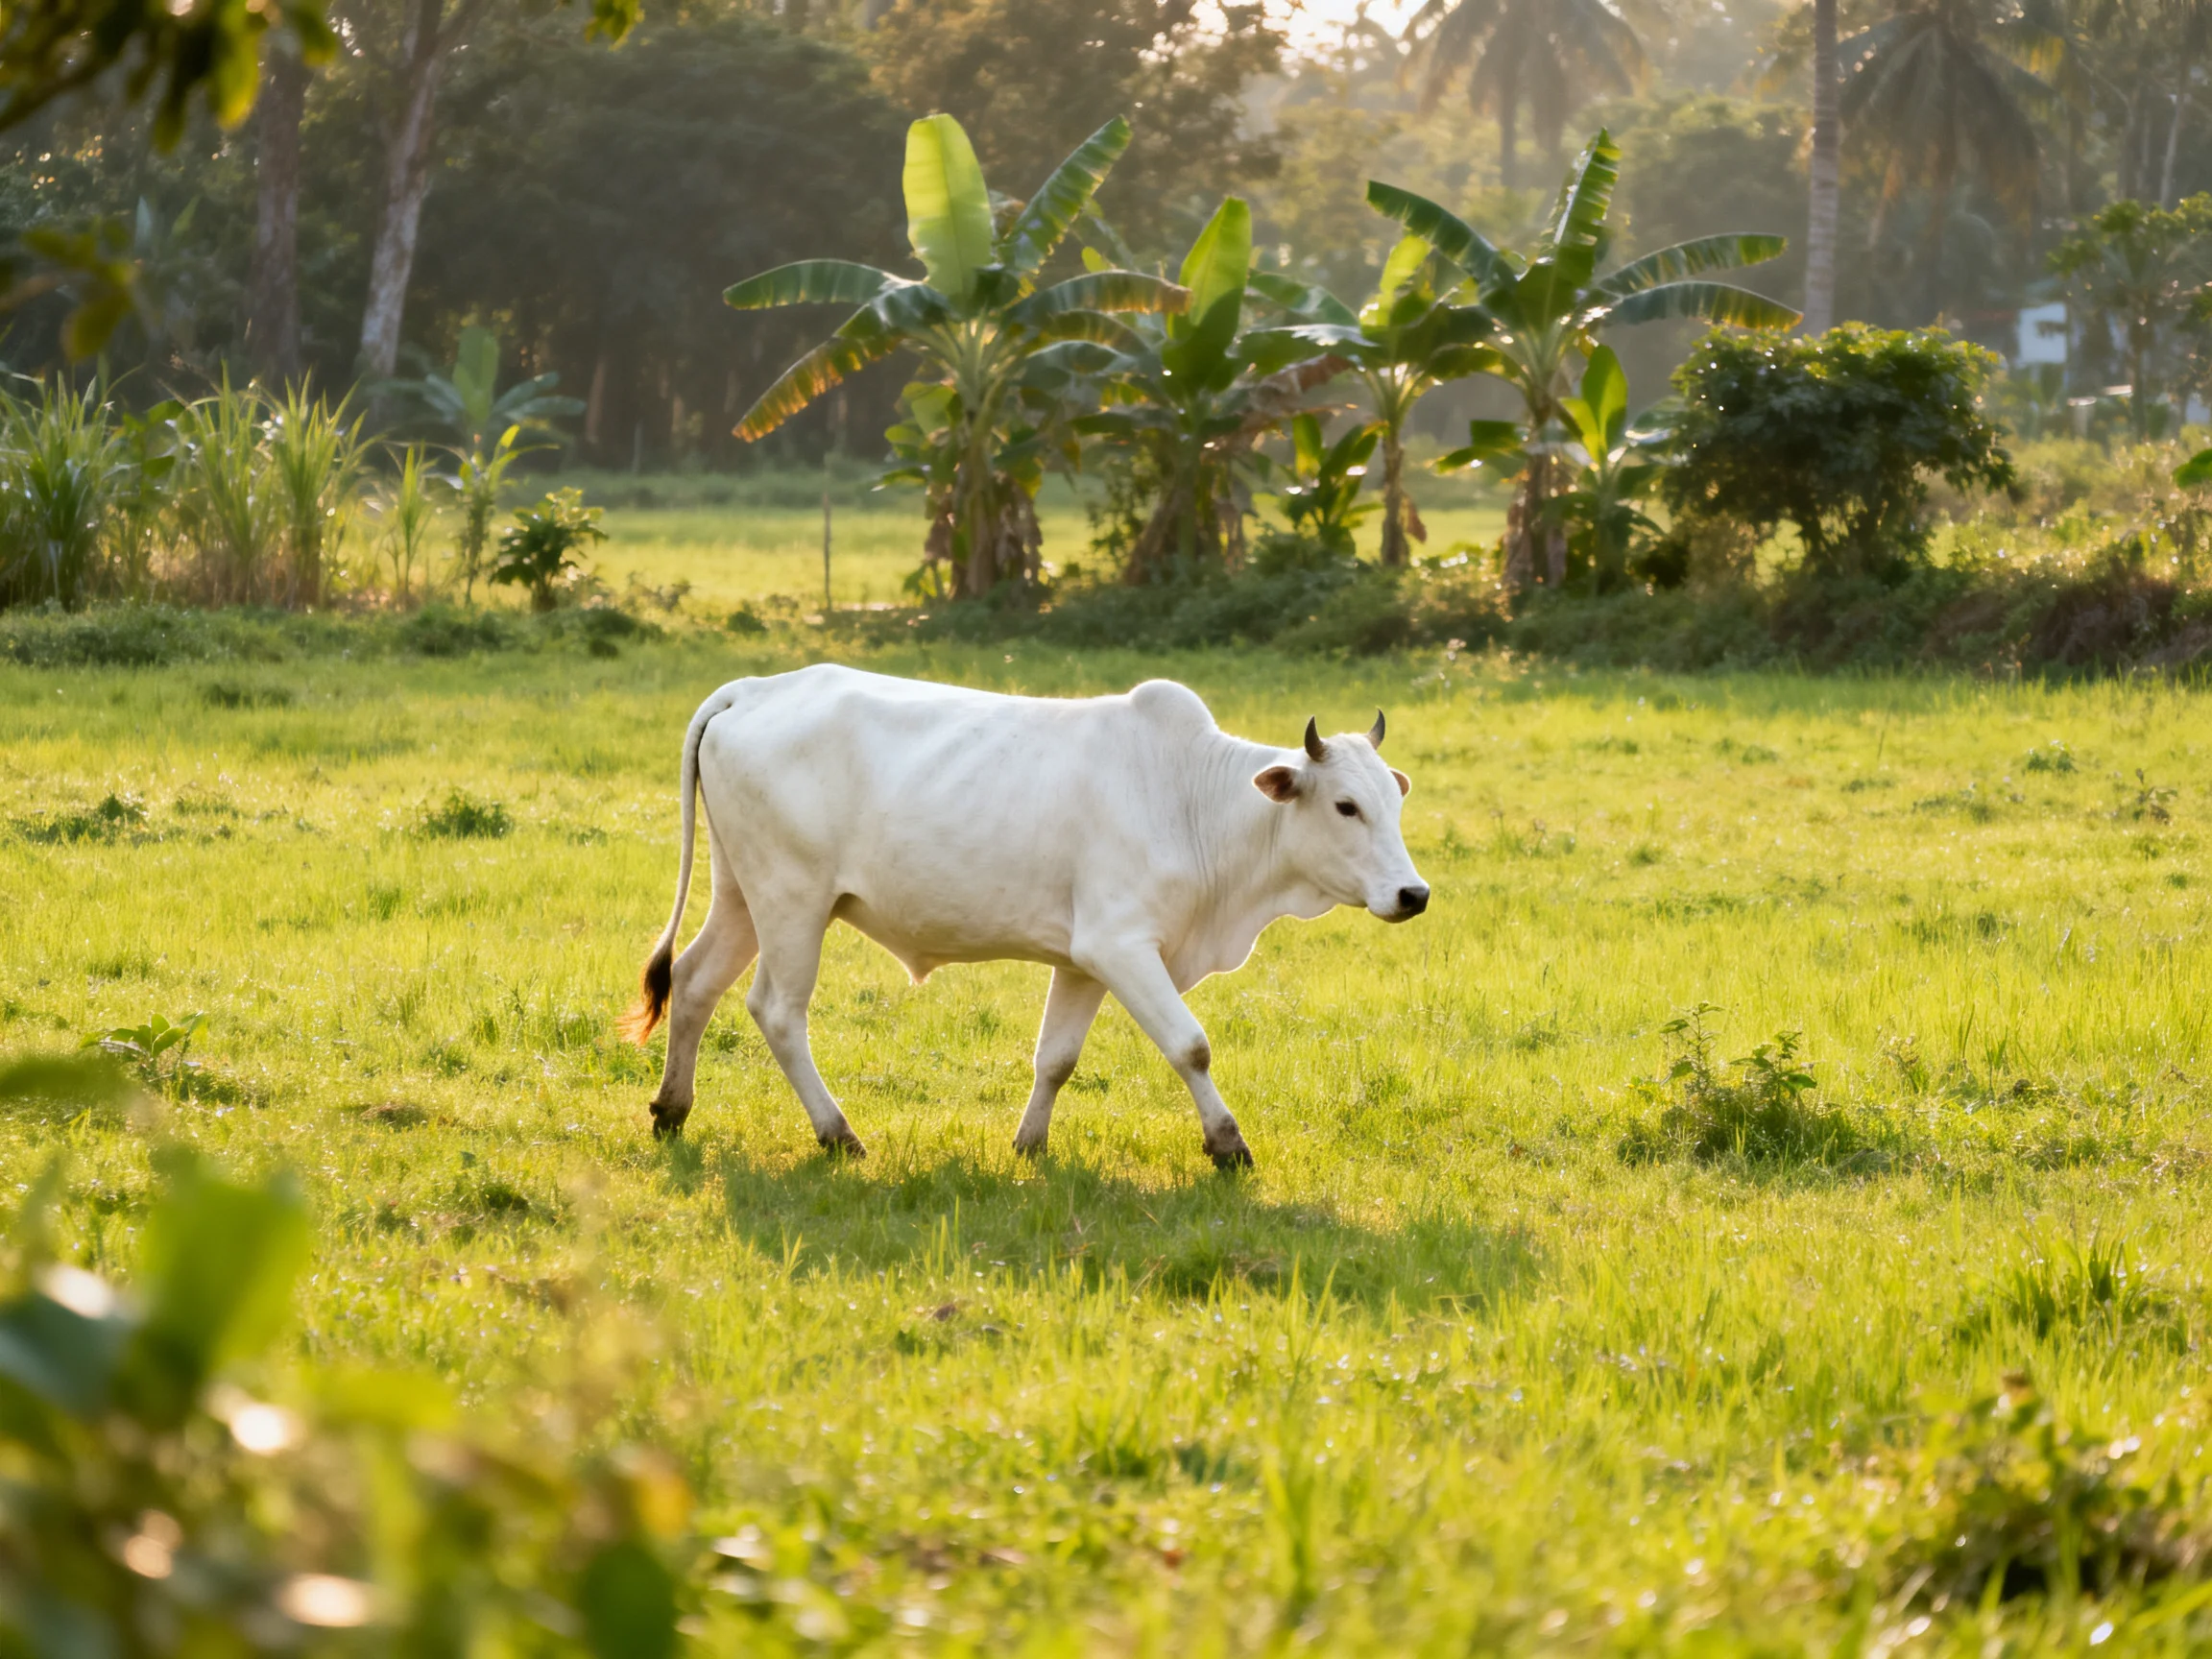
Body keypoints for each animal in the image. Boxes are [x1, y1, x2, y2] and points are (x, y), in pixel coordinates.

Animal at [620, 666, 1429, 1168]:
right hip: (793, 900)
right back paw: (836, 1133)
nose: (1413, 895)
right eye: (1345, 806)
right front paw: (1228, 1145)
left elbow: (1056, 1059)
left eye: (1394, 801)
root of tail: (751, 690)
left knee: (694, 982)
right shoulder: (1121, 946)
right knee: (777, 1011)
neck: (1195, 800)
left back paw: (672, 1107)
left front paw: (1030, 1144)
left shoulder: (1083, 961)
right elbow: (1190, 1046)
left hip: (741, 894)